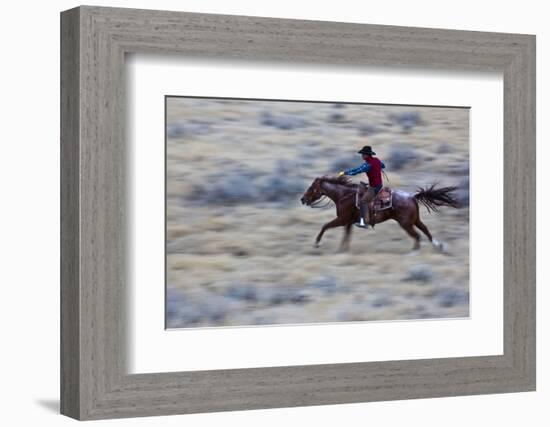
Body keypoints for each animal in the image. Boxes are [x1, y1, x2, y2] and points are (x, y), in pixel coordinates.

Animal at [302, 176, 462, 252]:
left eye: (311, 187)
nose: (303, 199)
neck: (344, 195)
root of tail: (412, 197)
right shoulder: (348, 222)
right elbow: (346, 236)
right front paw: (342, 250)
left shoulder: (342, 219)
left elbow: (325, 226)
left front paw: (317, 243)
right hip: (415, 220)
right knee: (426, 231)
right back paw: (439, 246)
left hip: (406, 224)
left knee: (417, 236)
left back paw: (413, 252)